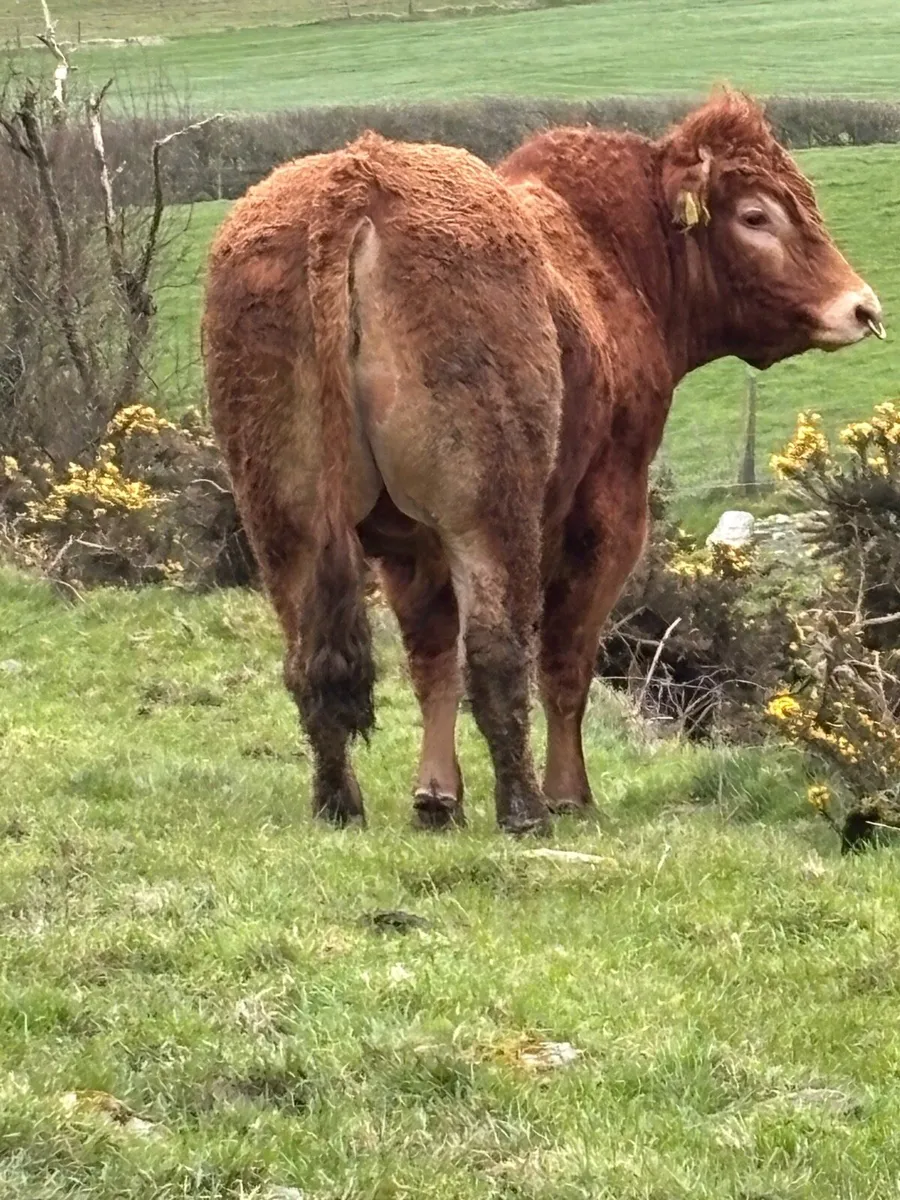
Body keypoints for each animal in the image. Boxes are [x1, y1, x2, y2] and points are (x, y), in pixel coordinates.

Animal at [202, 91, 884, 835]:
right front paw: (568, 790)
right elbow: (564, 658)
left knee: (313, 659)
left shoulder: (408, 544)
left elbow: (430, 658)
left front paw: (436, 795)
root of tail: (356, 180)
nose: (863, 307)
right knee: (499, 653)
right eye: (757, 215)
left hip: (283, 515)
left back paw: (338, 803)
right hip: (490, 509)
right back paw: (526, 807)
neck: (605, 259)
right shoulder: (609, 515)